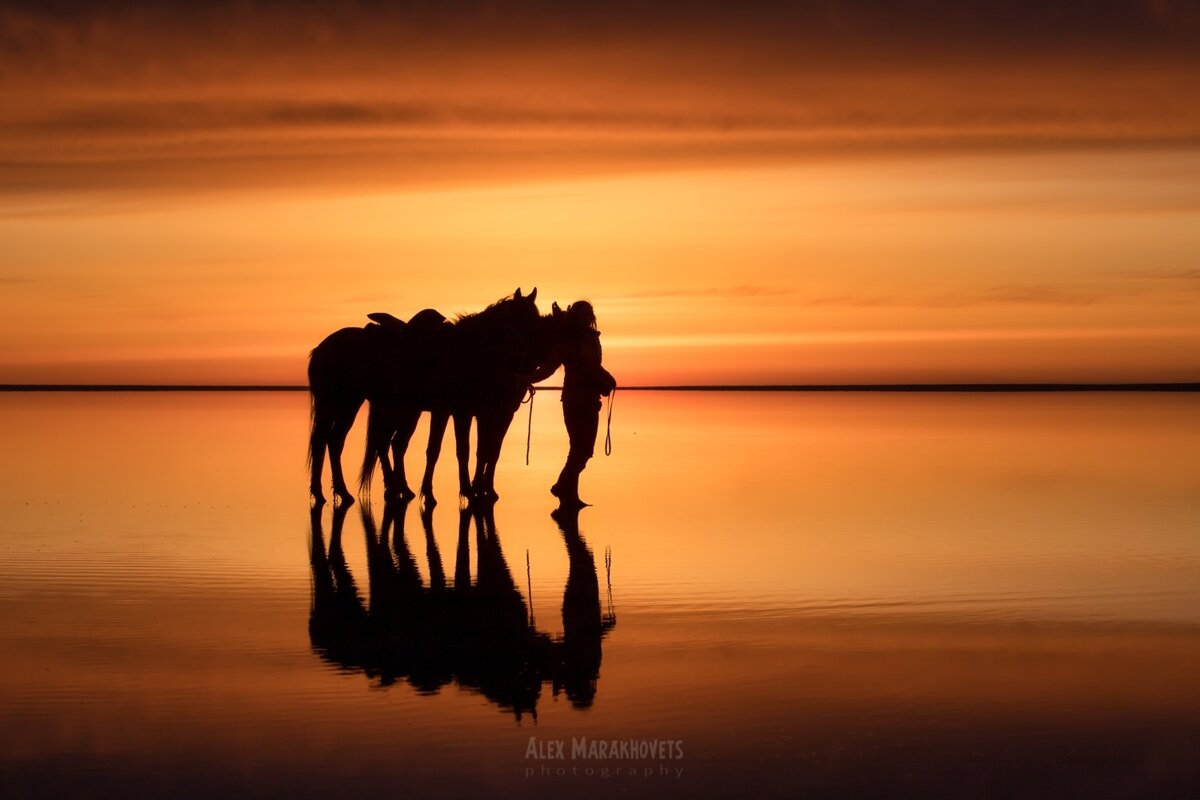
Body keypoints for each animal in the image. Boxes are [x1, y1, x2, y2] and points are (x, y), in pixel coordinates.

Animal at [309, 289, 540, 506]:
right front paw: (455, 492)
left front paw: (468, 490)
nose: (530, 365)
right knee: (330, 441)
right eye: (522, 320)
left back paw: (379, 490)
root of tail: (321, 348)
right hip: (345, 403)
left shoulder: (467, 413)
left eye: (536, 319)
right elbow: (452, 450)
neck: (464, 352)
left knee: (360, 442)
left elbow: (473, 451)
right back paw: (334, 492)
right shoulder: (456, 412)